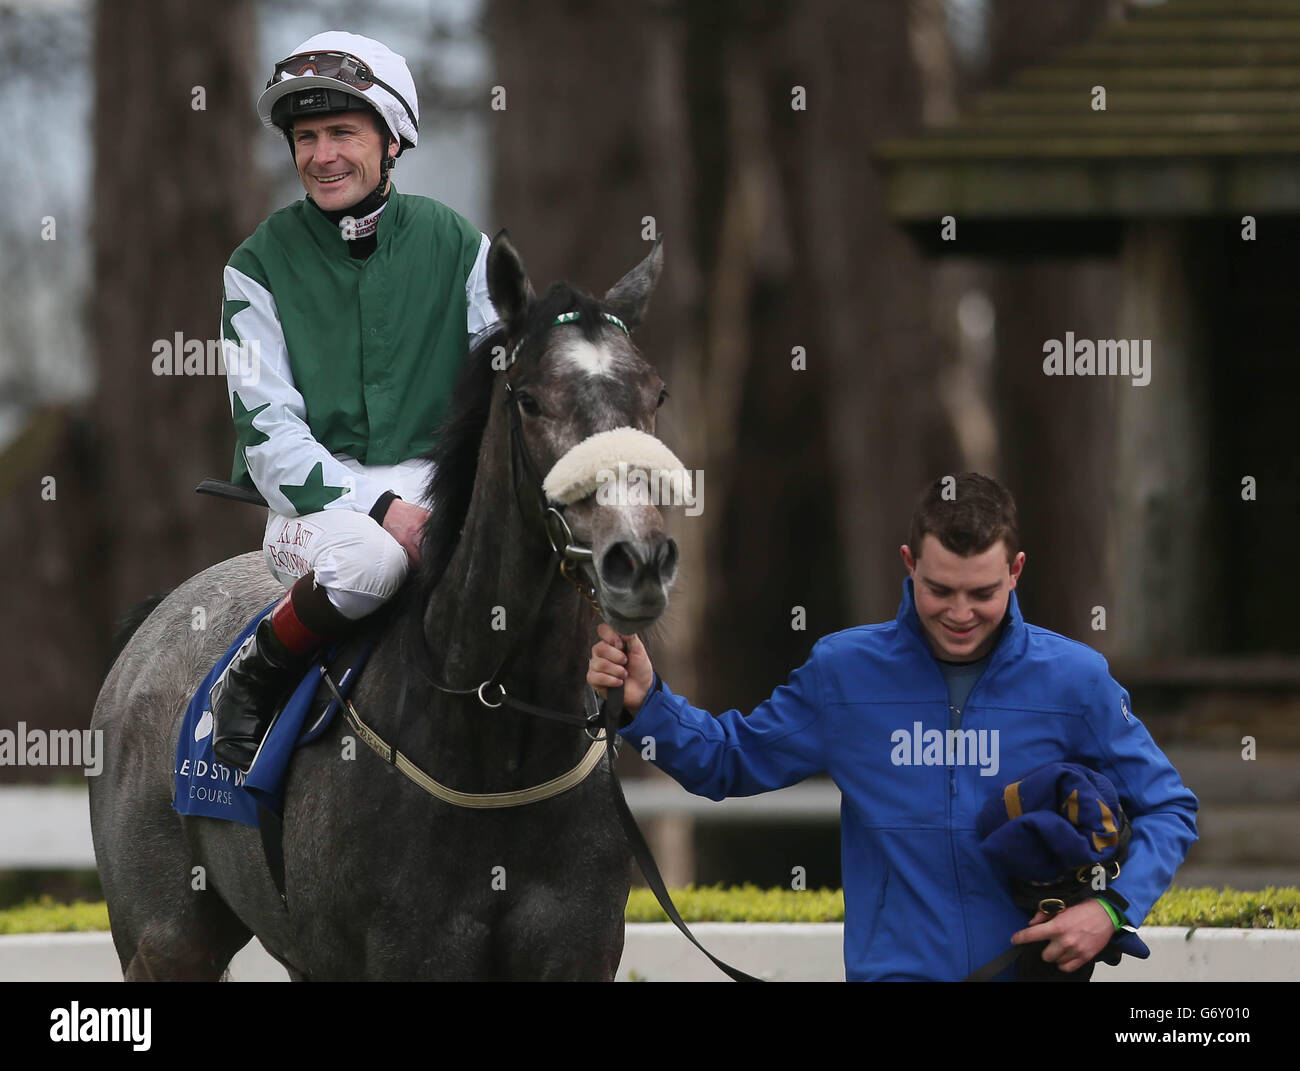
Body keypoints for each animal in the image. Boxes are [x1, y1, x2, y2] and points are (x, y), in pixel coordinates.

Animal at [90, 233, 681, 977]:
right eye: (529, 400)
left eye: (655, 393)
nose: (638, 560)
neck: (497, 749)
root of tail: (155, 620)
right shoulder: (408, 952)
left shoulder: (578, 951)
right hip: (164, 938)